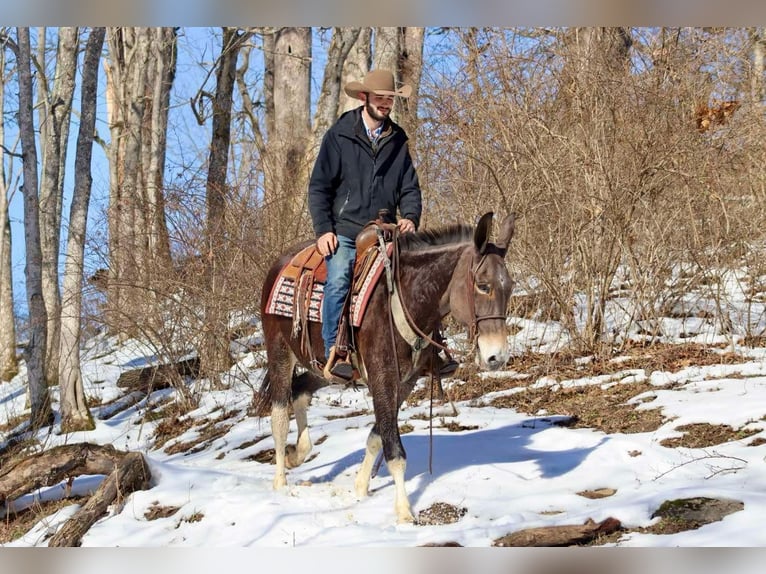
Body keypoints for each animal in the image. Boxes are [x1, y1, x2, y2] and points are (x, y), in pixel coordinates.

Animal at [256, 213, 516, 528]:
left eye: (510, 286)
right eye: (482, 285)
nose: (497, 356)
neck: (405, 300)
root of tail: (280, 264)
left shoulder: (404, 383)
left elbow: (377, 436)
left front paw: (360, 487)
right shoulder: (382, 378)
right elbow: (395, 451)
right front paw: (404, 511)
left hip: (322, 369)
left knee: (301, 392)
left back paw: (298, 452)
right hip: (280, 353)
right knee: (280, 414)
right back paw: (281, 480)